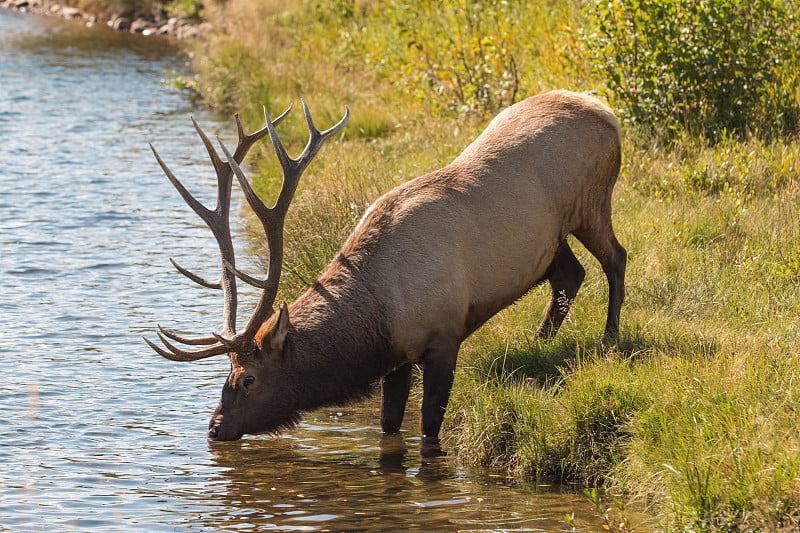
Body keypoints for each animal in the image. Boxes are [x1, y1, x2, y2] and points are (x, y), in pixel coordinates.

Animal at [147, 90, 628, 440]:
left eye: (247, 378)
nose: (214, 428)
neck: (382, 315)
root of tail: (607, 112)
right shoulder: (397, 360)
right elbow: (388, 425)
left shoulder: (444, 337)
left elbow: (430, 428)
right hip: (552, 236)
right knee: (569, 274)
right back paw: (540, 340)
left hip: (592, 204)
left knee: (616, 259)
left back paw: (609, 339)